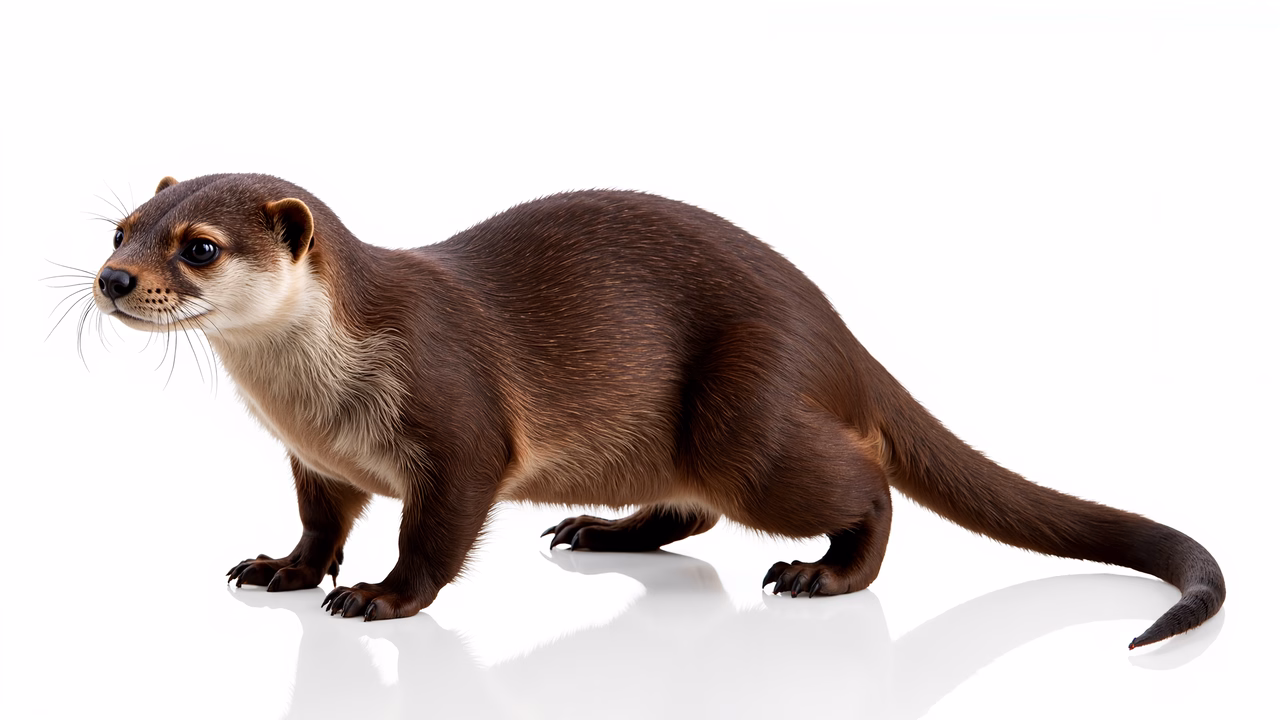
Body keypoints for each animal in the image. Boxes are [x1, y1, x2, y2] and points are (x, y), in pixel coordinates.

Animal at [91, 173, 1223, 649]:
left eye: (196, 246)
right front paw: (283, 568)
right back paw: (602, 532)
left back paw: (822, 573)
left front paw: (379, 596)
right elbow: (319, 523)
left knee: (860, 483)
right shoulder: (315, 459)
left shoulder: (456, 424)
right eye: (121, 225)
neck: (316, 396)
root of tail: (830, 325)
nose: (112, 279)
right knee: (691, 507)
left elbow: (436, 531)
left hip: (745, 413)